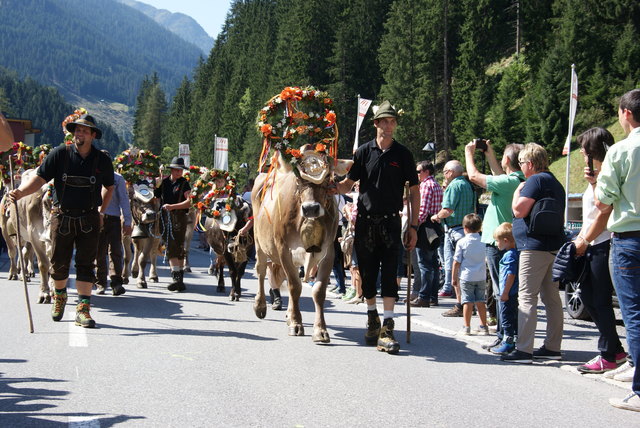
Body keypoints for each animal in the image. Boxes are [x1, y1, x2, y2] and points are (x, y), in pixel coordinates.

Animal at [0, 169, 53, 302]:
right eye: (46, 203)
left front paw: (52, 289)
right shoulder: (32, 234)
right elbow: (42, 263)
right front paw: (44, 293)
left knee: (25, 252)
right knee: (17, 252)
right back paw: (16, 273)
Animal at [250, 149, 350, 342]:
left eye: (328, 178)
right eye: (298, 179)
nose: (310, 208)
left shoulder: (328, 252)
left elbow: (318, 291)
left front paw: (320, 330)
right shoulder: (283, 248)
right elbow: (294, 286)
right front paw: (297, 324)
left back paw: (289, 314)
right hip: (259, 243)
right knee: (261, 271)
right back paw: (260, 306)